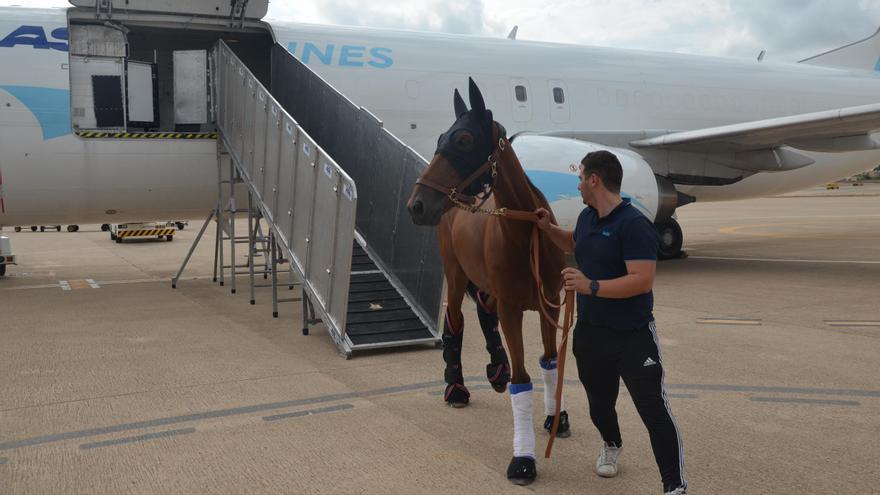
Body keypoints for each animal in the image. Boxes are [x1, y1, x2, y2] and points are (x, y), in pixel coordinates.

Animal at [408, 77, 572, 484]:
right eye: (440, 137)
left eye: (464, 139)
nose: (417, 204)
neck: (526, 231)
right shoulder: (514, 309)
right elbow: (523, 377)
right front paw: (523, 458)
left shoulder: (548, 302)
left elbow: (549, 362)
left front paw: (555, 417)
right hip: (455, 274)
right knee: (456, 321)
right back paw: (456, 387)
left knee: (484, 309)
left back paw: (496, 368)